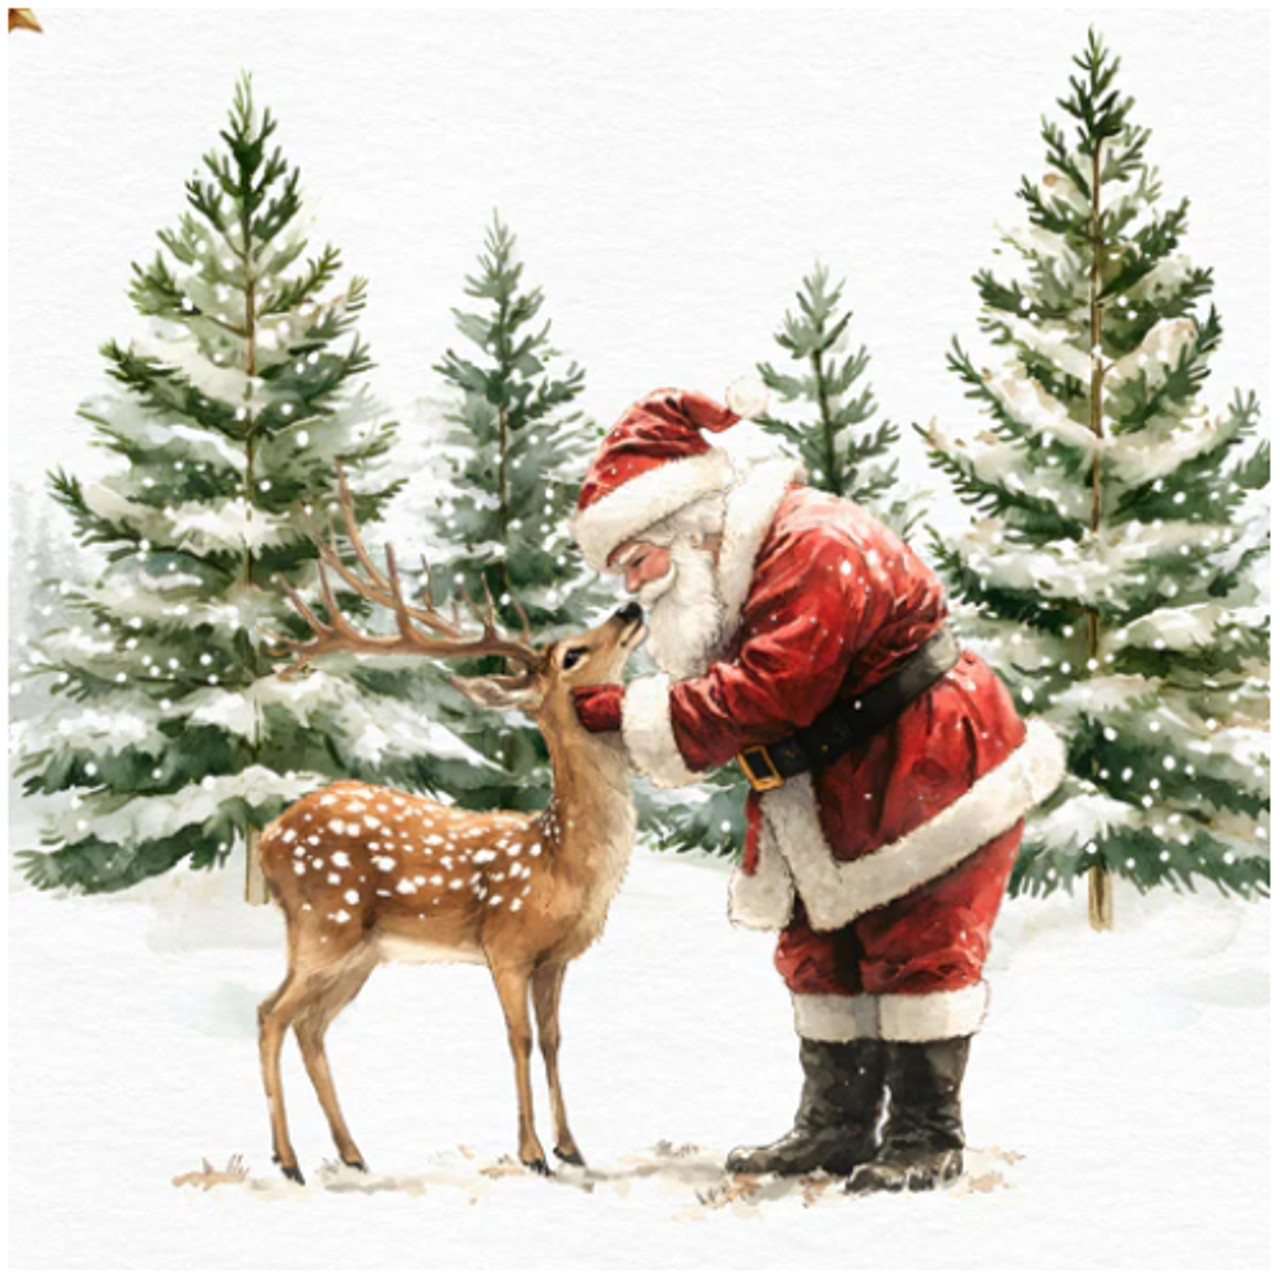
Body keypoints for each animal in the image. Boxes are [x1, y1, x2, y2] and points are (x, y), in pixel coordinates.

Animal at [255, 465, 646, 1184]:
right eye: (572, 655)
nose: (629, 610)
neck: (561, 862)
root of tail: (269, 837)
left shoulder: (556, 959)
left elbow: (554, 1040)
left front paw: (571, 1146)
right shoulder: (506, 944)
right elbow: (519, 1039)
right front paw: (531, 1153)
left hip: (357, 950)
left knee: (310, 1026)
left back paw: (352, 1153)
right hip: (324, 922)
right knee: (271, 1014)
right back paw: (291, 1160)